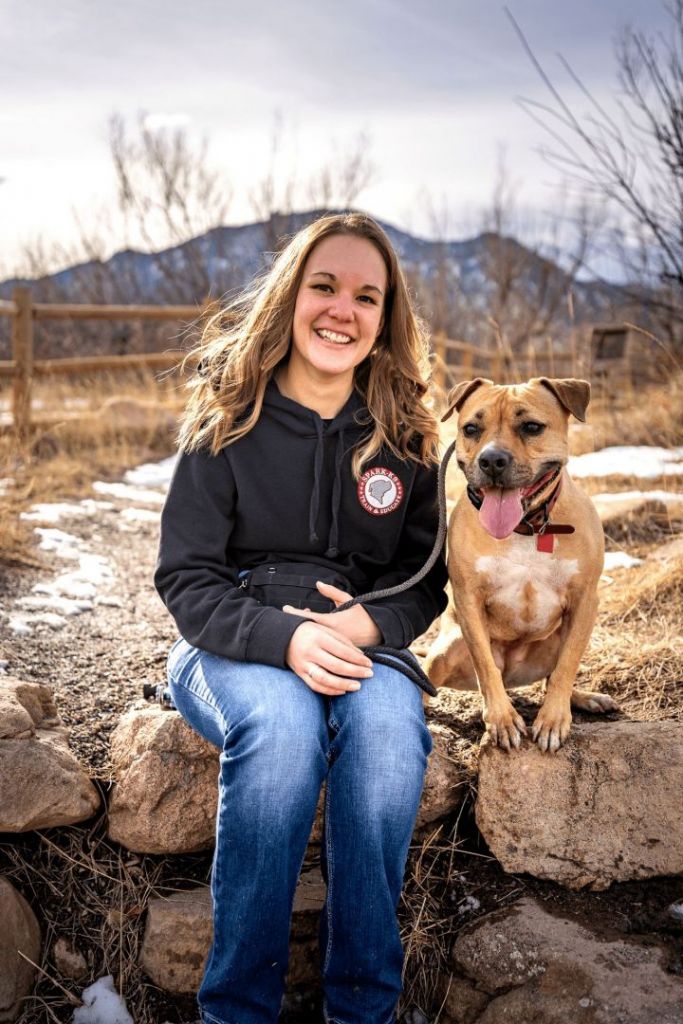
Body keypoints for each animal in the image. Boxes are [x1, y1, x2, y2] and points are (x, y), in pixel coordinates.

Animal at [424, 377, 618, 753]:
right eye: (471, 429)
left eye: (531, 427)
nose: (492, 460)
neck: (525, 527)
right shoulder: (468, 600)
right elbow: (485, 666)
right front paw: (501, 721)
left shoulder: (585, 600)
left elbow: (566, 666)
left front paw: (553, 720)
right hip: (447, 649)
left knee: (554, 673)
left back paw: (584, 698)